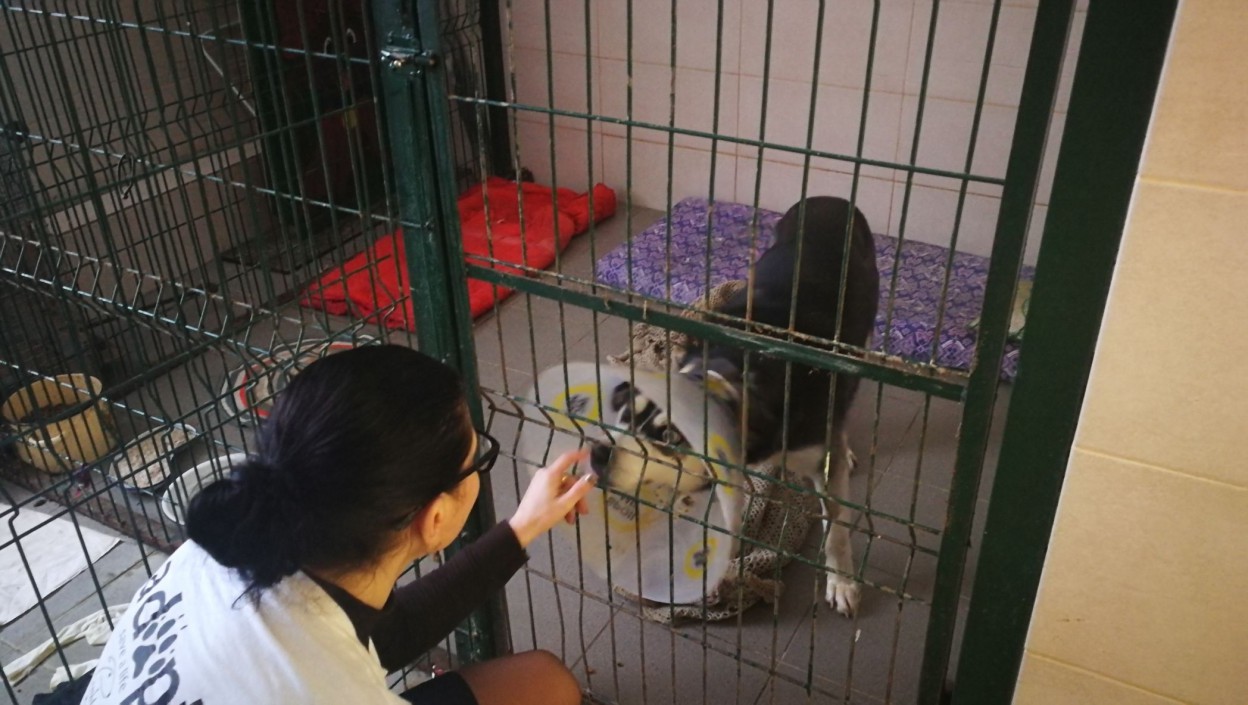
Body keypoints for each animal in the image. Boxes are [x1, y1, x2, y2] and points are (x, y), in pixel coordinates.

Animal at [590, 196, 879, 616]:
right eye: (625, 413)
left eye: (670, 437)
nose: (597, 456)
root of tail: (827, 200)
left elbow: (836, 532)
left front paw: (842, 584)